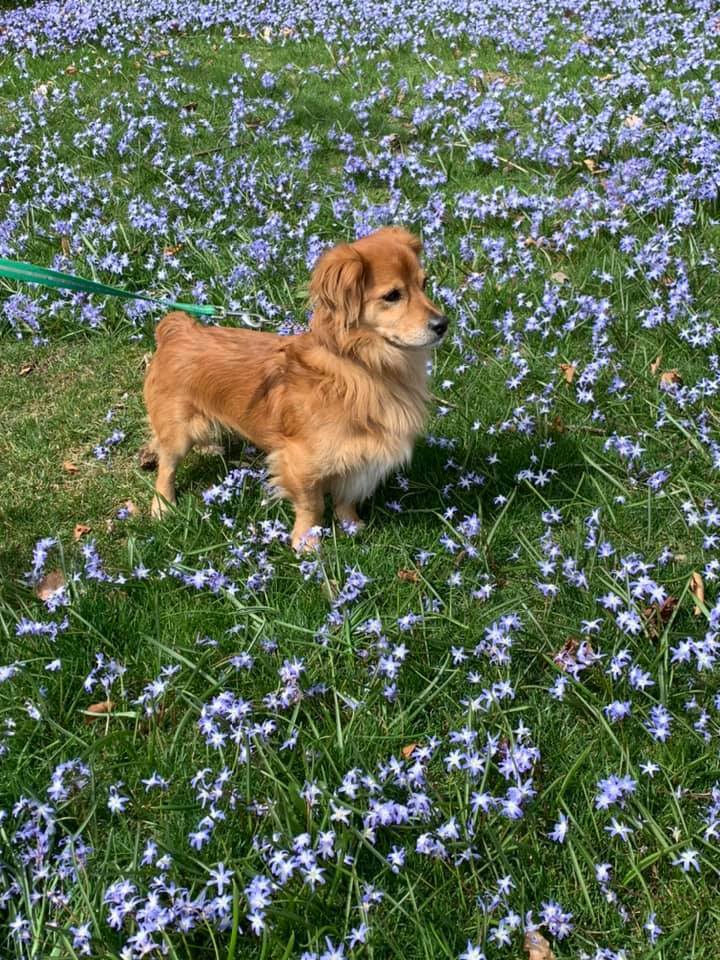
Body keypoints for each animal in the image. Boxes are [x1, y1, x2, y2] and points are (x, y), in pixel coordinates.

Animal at [143, 225, 448, 552]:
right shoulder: (300, 462)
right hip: (178, 432)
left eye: (424, 283)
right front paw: (307, 542)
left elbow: (345, 500)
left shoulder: (357, 459)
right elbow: (312, 505)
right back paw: (162, 505)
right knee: (166, 465)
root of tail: (179, 330)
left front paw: (352, 527)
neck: (363, 368)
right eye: (392, 296)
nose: (443, 323)